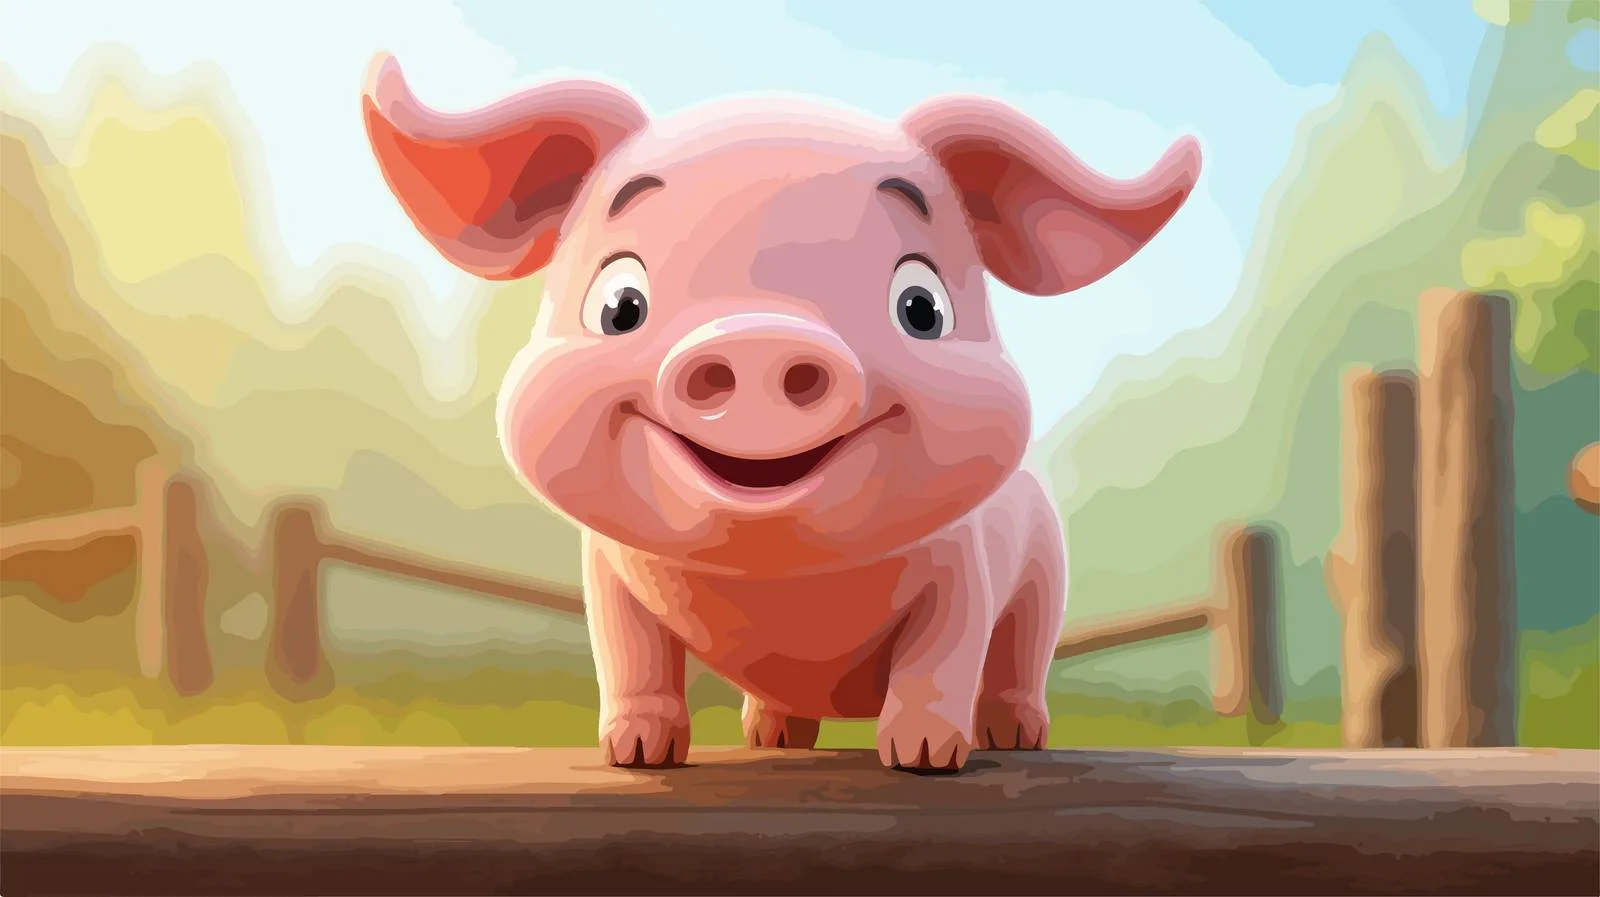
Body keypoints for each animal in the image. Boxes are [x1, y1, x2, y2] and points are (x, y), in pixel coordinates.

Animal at [361, 53, 1200, 773]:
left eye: (921, 307)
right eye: (620, 304)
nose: (759, 338)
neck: (775, 585)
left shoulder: (966, 569)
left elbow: (942, 653)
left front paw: (925, 757)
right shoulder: (608, 571)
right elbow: (632, 656)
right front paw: (635, 752)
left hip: (1045, 571)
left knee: (1020, 654)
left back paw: (1014, 735)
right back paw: (770, 737)